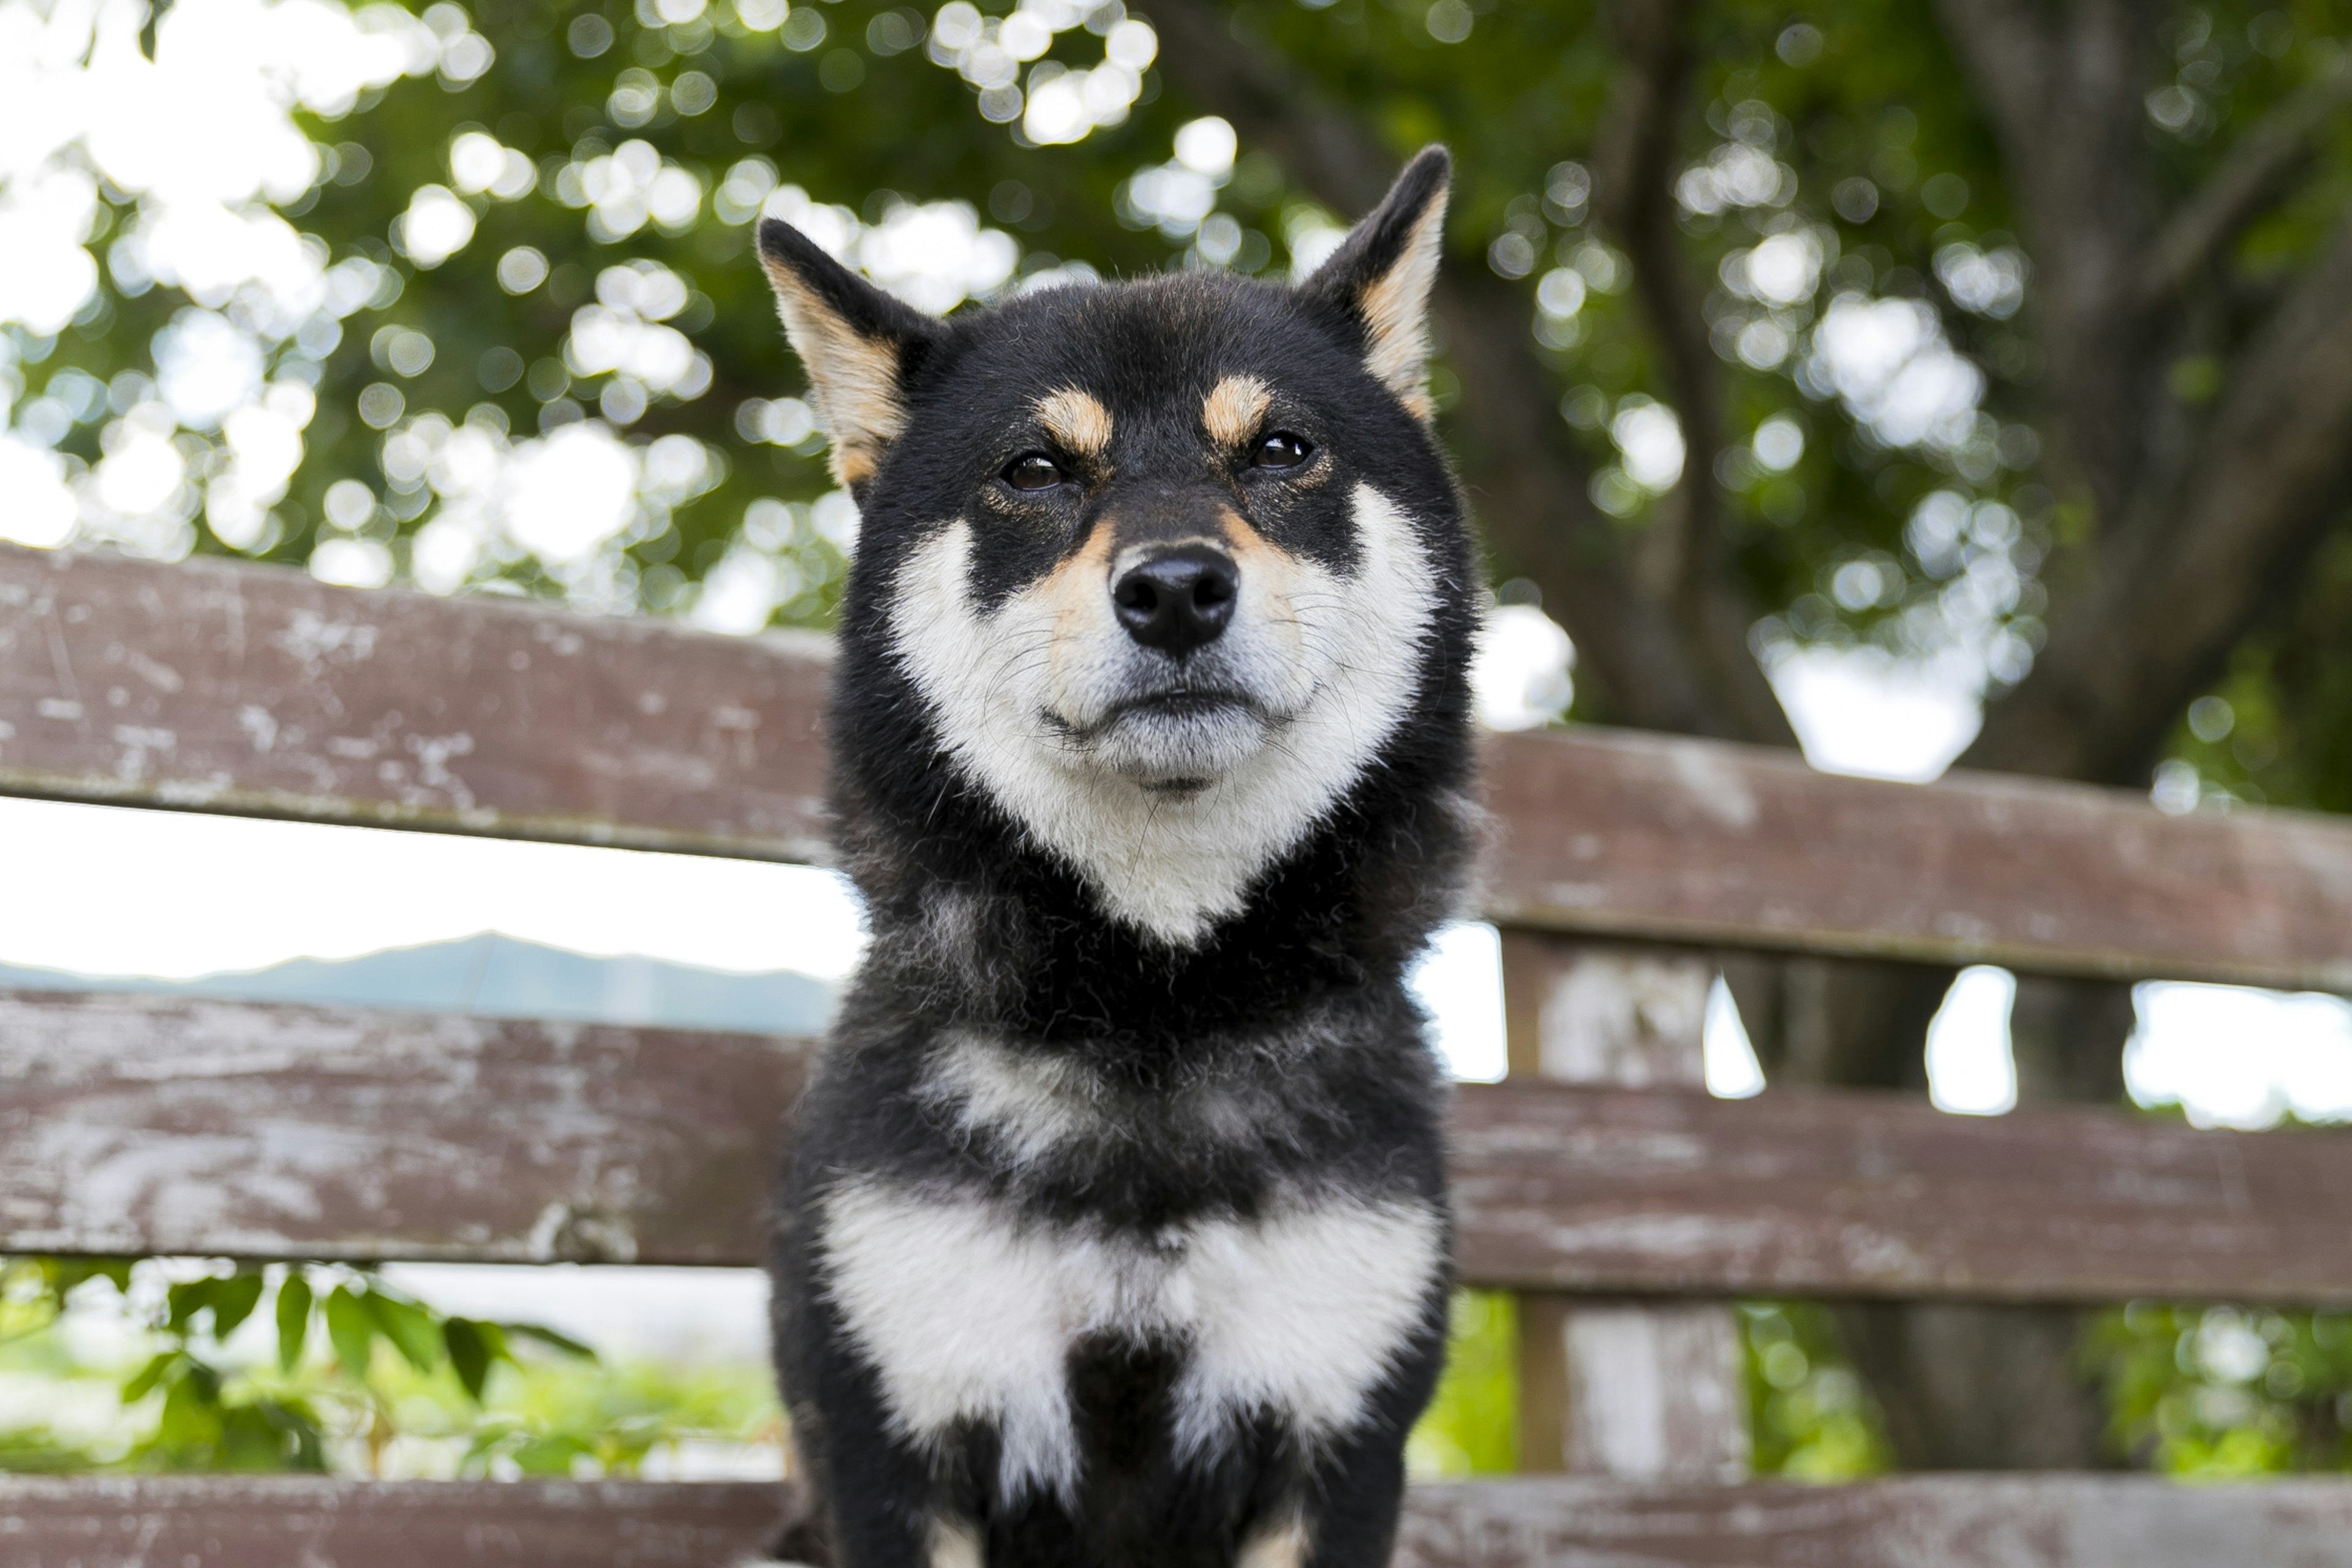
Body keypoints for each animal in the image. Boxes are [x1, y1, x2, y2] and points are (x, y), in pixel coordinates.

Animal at [762, 146, 1477, 1568]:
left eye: (1281, 449)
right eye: (1036, 469)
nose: (1177, 588)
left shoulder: (1338, 1440)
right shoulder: (896, 1447)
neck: (1157, 1005)